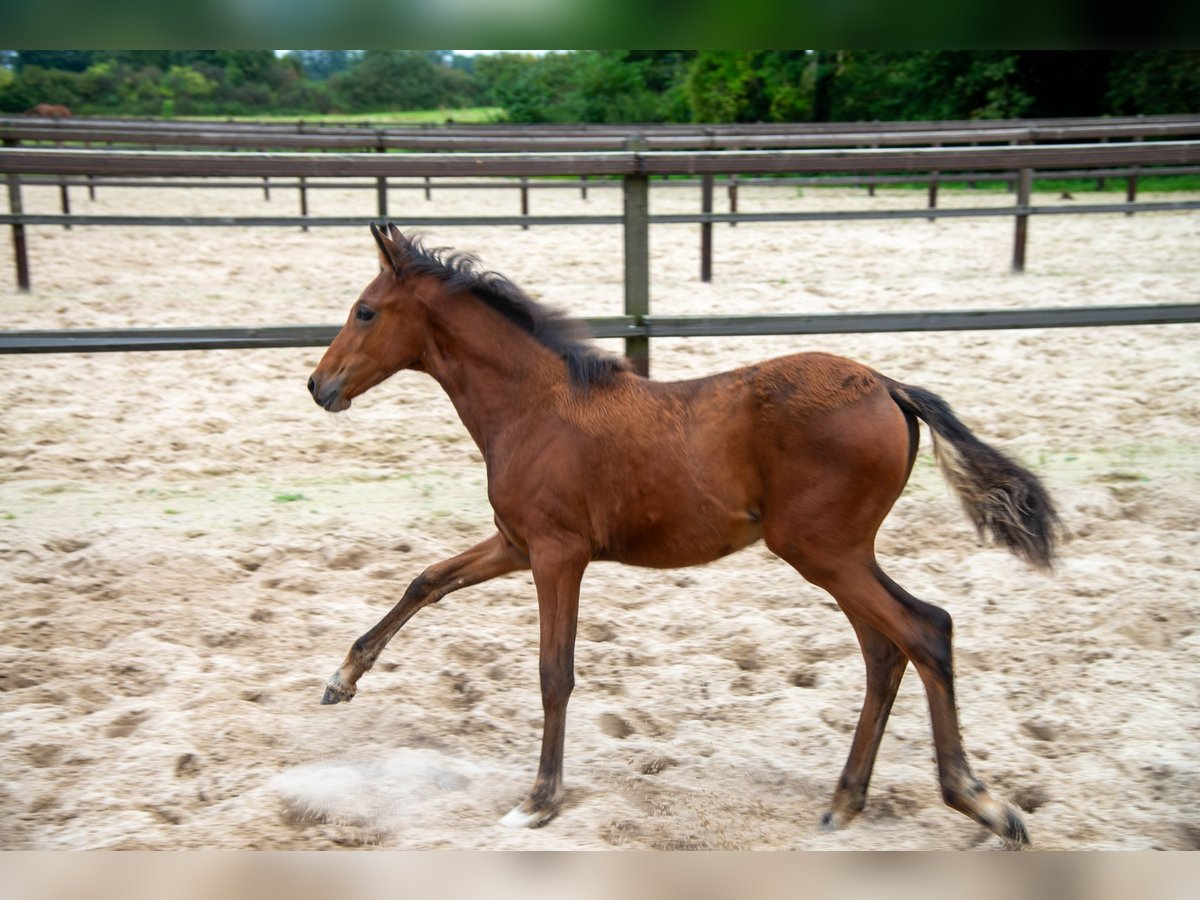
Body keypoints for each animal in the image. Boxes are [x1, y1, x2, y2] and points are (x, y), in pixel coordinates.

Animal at [304, 224, 1056, 844]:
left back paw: (982, 804)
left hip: (824, 551)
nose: (318, 385)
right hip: (839, 555)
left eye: (365, 310)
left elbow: (554, 673)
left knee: (925, 630)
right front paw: (341, 679)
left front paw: (540, 800)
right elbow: (426, 579)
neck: (534, 406)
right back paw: (845, 801)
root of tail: (890, 386)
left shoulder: (556, 554)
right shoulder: (517, 545)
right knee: (884, 651)